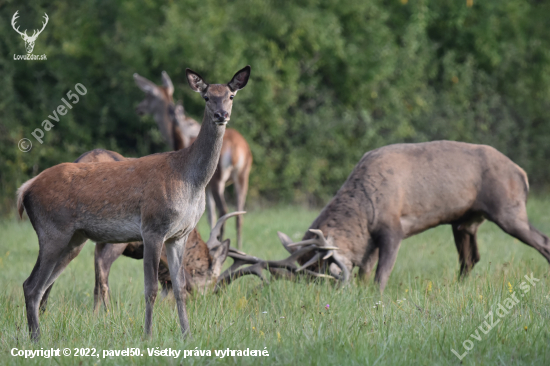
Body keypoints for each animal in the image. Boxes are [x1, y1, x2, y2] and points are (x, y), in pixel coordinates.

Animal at [134, 70, 254, 250]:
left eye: (148, 95)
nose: (139, 108)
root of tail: (236, 150)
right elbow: (210, 215)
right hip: (243, 175)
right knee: (239, 213)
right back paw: (238, 246)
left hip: (219, 178)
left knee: (224, 209)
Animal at [270, 141, 550, 292]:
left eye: (321, 274)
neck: (363, 215)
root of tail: (522, 174)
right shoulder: (370, 241)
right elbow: (366, 271)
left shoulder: (393, 227)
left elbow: (382, 273)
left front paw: (376, 297)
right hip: (464, 223)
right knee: (470, 259)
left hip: (509, 210)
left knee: (543, 241)